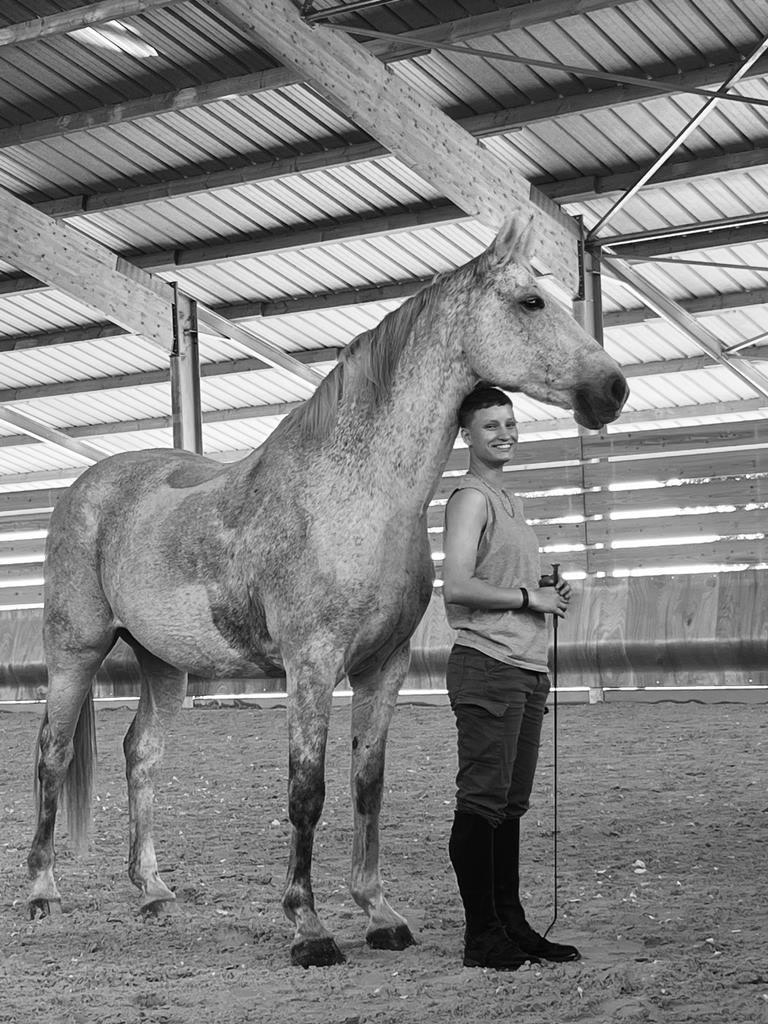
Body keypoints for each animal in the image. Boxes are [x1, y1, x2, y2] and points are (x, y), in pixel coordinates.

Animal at [27, 216, 628, 968]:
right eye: (529, 302)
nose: (614, 389)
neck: (355, 495)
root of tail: (87, 485)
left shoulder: (383, 668)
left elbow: (367, 784)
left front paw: (379, 915)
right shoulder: (311, 666)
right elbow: (306, 790)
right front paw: (308, 928)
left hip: (163, 662)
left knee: (143, 755)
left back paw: (154, 892)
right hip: (76, 651)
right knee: (52, 754)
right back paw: (43, 893)